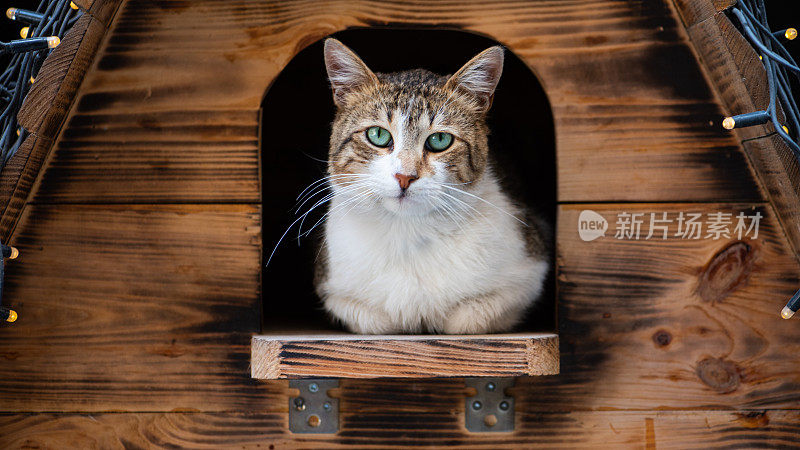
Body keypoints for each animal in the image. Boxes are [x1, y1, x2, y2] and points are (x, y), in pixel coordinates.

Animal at [312, 38, 552, 334]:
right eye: (377, 135)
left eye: (439, 140)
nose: (405, 176)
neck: (408, 230)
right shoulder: (332, 286)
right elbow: (373, 320)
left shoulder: (530, 269)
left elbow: (471, 317)